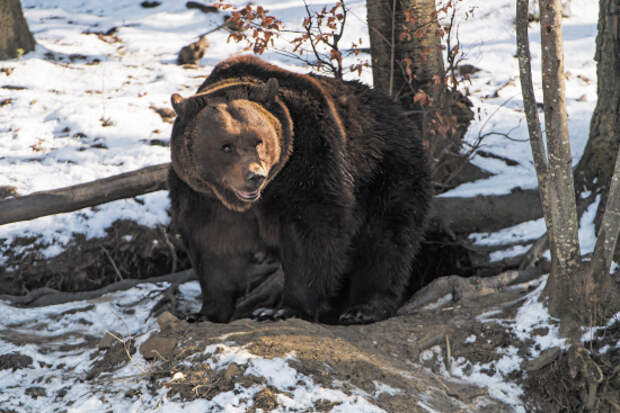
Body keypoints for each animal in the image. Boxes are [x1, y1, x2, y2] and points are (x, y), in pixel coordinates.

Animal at [170, 55, 432, 326]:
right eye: (226, 146)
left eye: (258, 140)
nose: (255, 176)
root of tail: (401, 114)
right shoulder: (201, 194)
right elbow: (213, 245)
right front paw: (203, 313)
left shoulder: (308, 158)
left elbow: (311, 231)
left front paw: (280, 310)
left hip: (386, 171)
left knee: (385, 239)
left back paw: (362, 308)